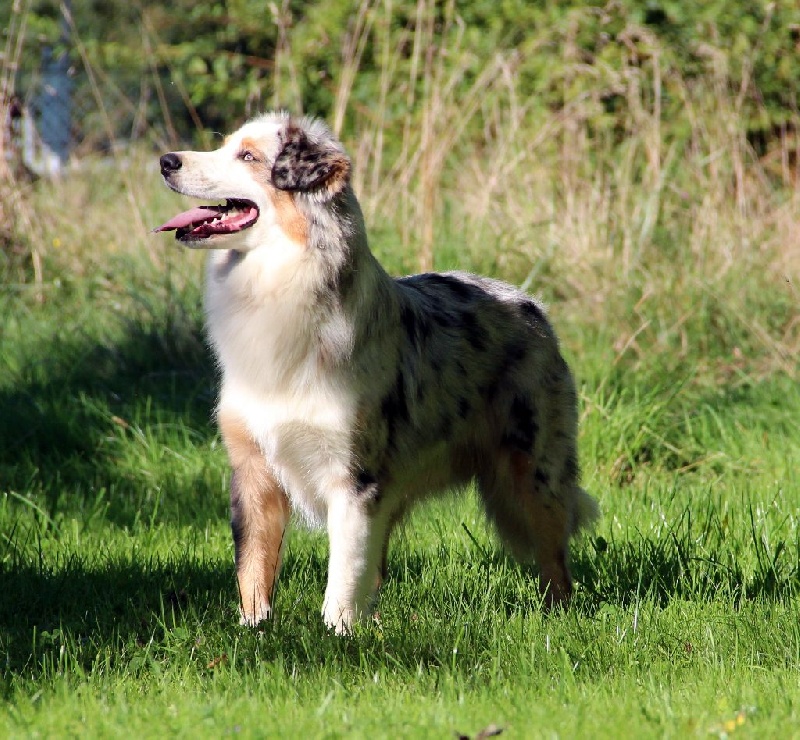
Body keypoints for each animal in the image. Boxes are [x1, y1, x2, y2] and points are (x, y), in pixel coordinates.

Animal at [153, 112, 596, 632]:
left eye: (248, 156)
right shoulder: (253, 469)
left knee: (554, 557)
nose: (166, 161)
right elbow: (254, 567)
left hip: (533, 473)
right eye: (223, 146)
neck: (277, 284)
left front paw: (336, 633)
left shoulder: (354, 480)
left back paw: (557, 617)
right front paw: (254, 631)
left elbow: (344, 570)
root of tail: (531, 305)